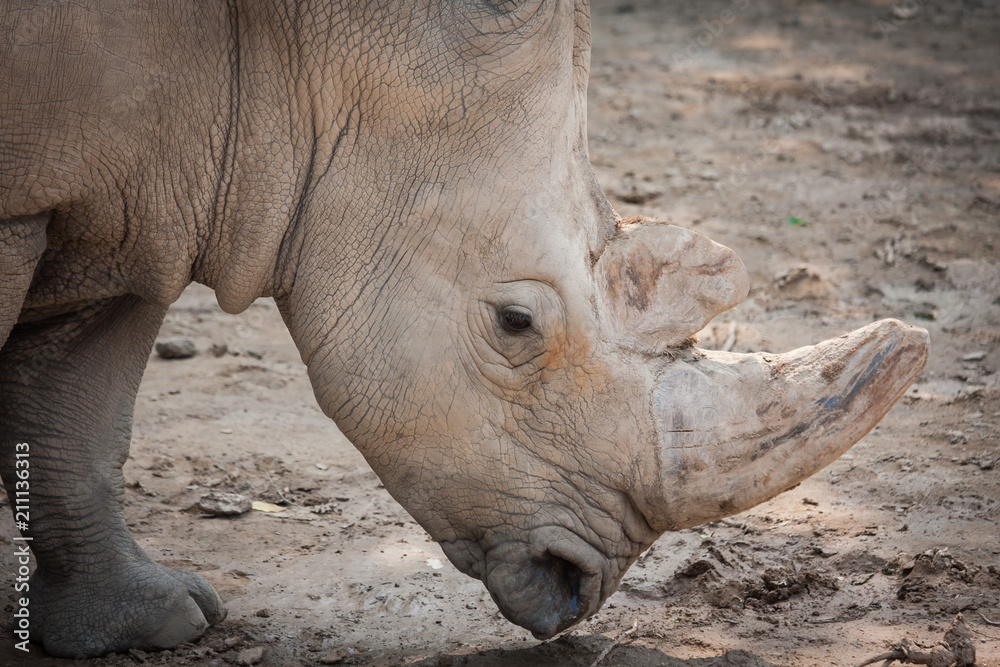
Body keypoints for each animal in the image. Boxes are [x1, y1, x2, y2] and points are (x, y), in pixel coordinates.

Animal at [0, 0, 928, 659]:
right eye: (515, 323)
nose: (574, 586)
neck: (290, 55)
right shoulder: (39, 198)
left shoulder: (151, 196)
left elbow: (79, 420)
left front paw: (154, 627)